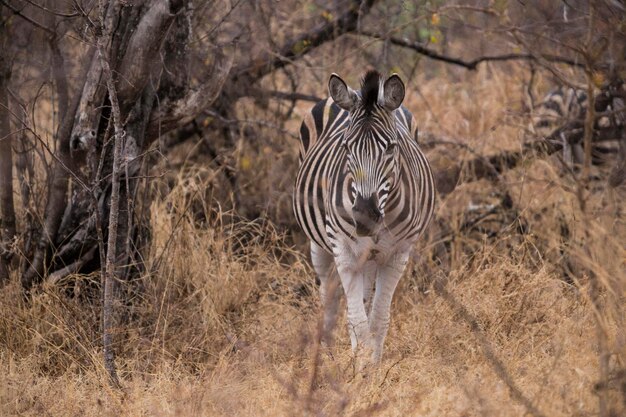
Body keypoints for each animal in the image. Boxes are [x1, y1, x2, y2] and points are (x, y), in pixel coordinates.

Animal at [292, 70, 434, 364]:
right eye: (346, 147)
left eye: (391, 148)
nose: (365, 215)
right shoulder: (344, 251)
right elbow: (356, 320)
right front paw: (359, 367)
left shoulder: (397, 255)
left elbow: (378, 319)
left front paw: (372, 366)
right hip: (321, 246)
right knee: (329, 297)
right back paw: (328, 354)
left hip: (371, 255)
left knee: (365, 296)